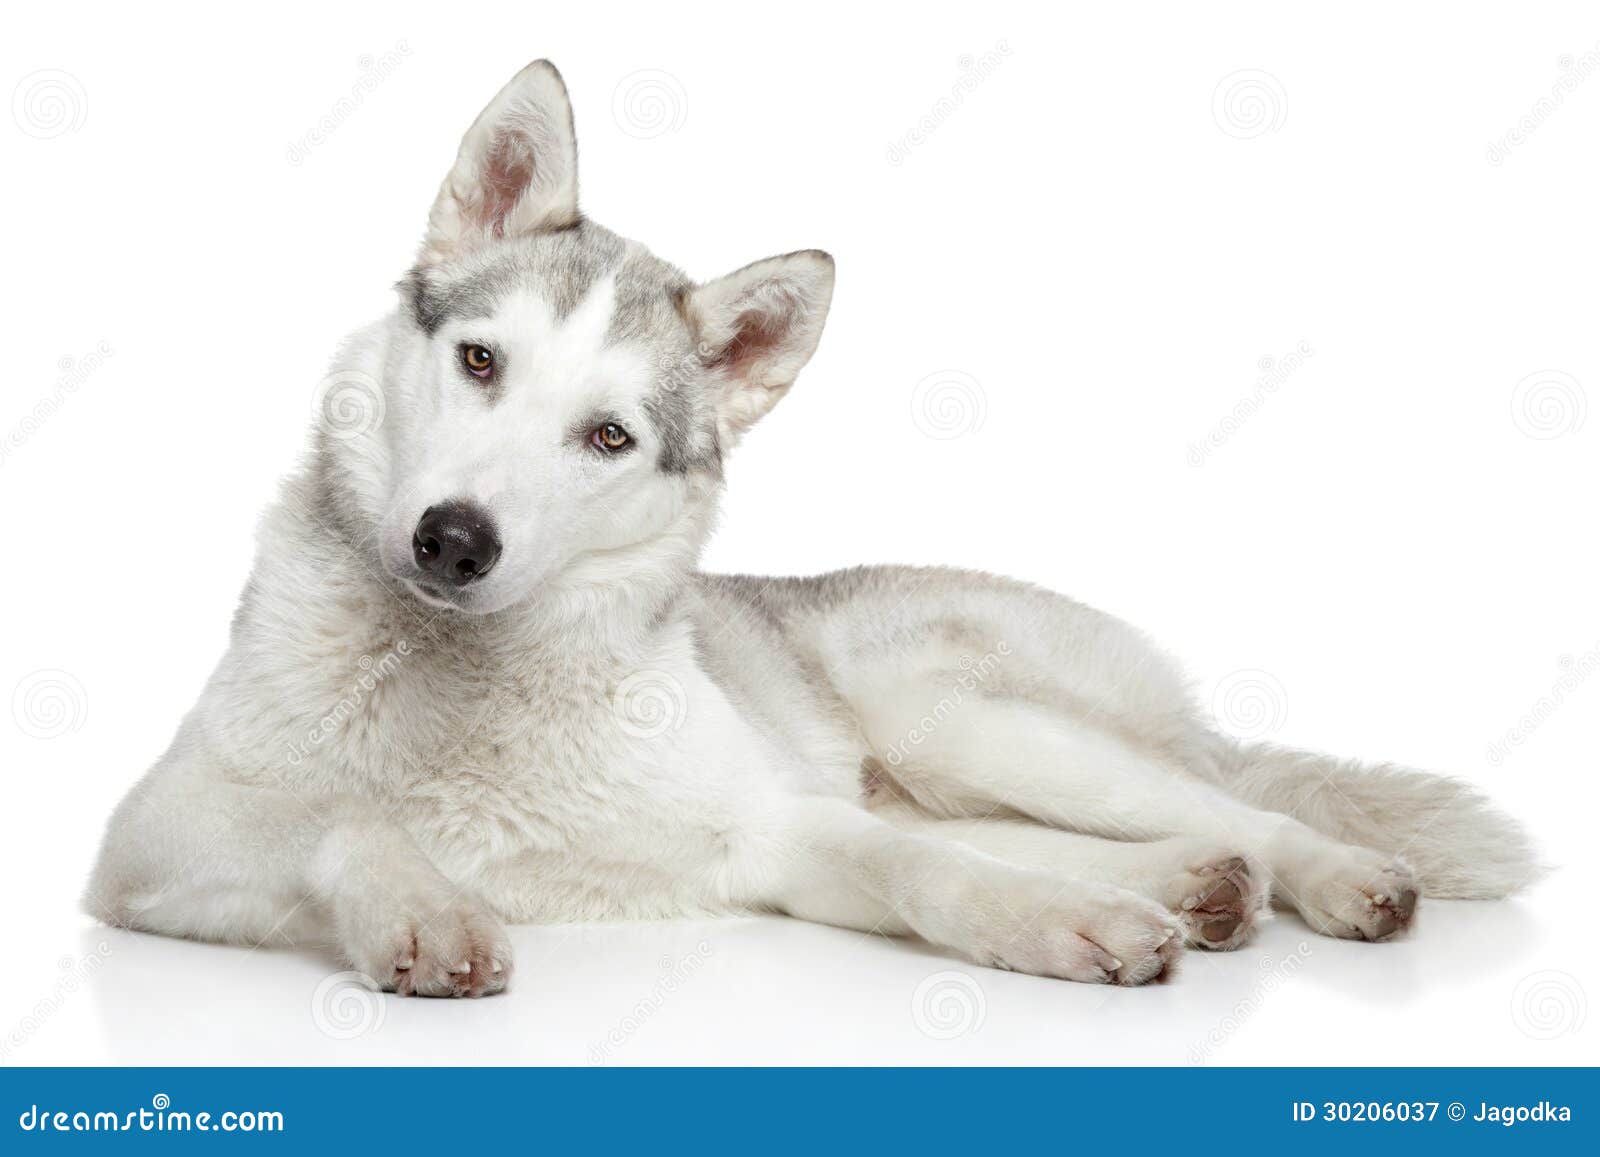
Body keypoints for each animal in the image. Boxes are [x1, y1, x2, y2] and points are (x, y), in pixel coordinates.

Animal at [84, 58, 1536, 998]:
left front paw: (1054, 925)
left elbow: (923, 872)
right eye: (482, 362)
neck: (480, 691)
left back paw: (1320, 876)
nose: (453, 539)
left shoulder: (775, 831)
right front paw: (428, 905)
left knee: (1226, 804)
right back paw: (1195, 886)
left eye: (608, 436)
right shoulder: (147, 839)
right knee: (1123, 827)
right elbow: (340, 818)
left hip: (960, 718)